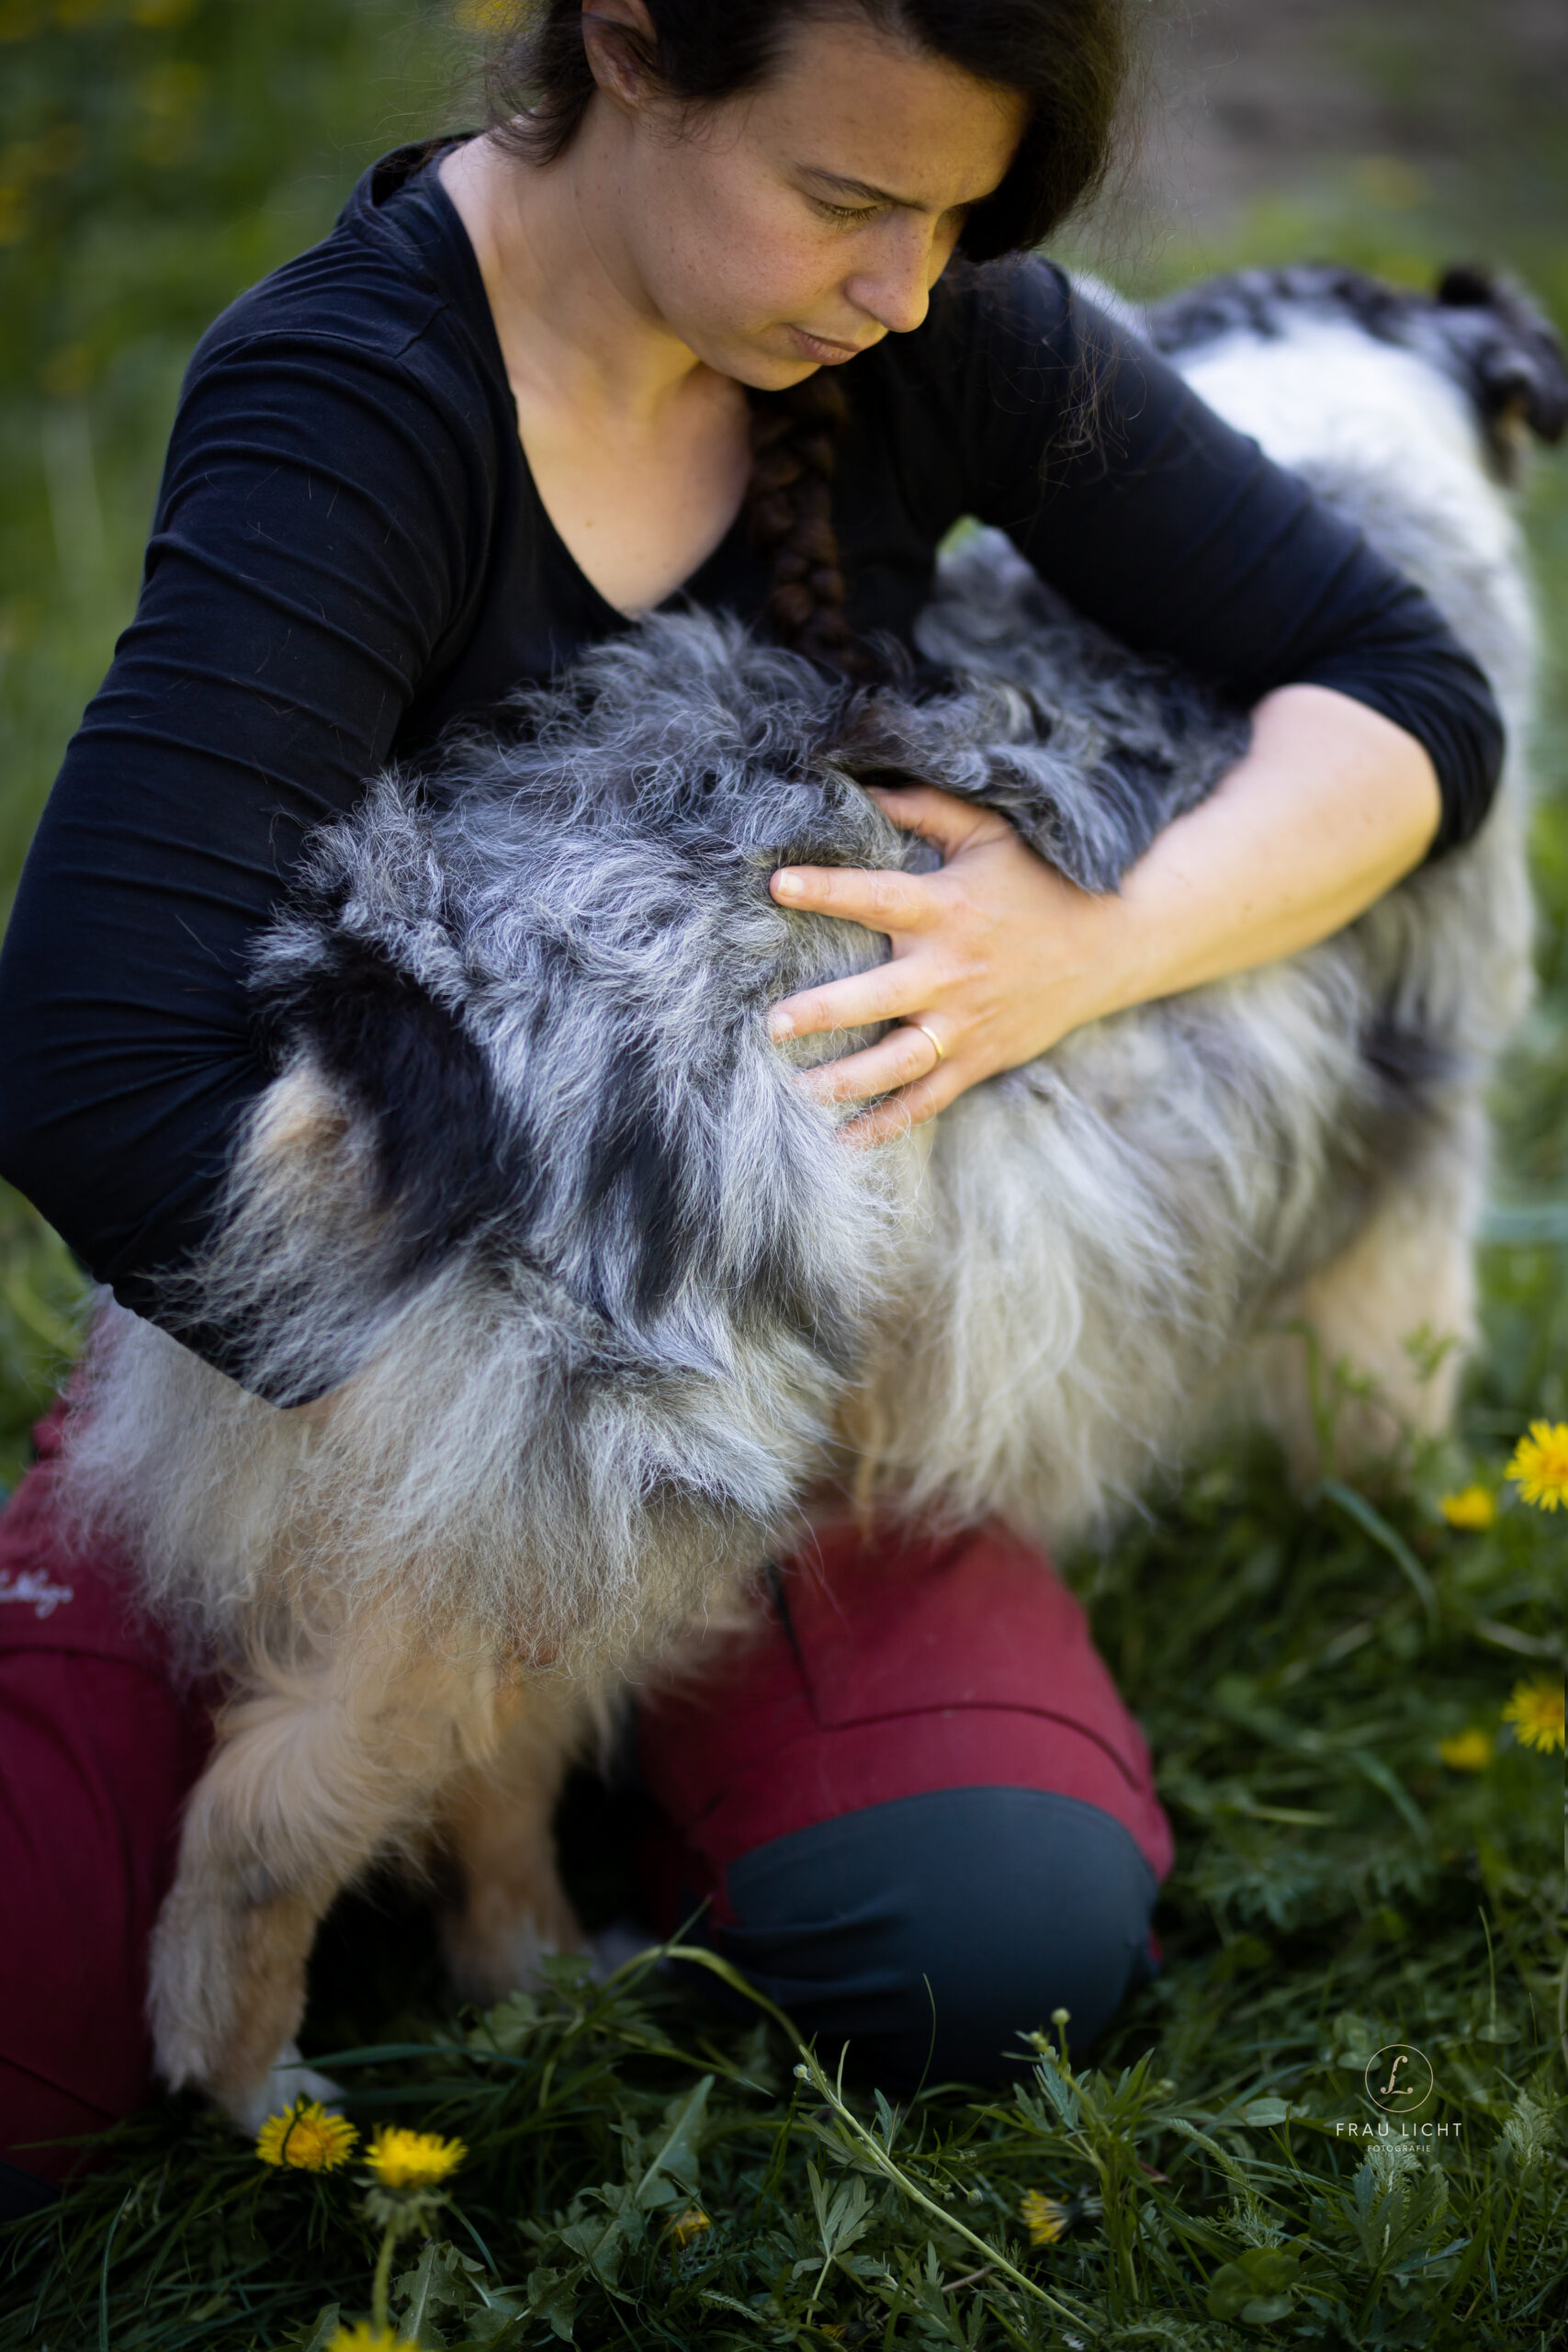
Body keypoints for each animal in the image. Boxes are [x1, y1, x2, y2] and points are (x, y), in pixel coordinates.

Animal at [58, 257, 1561, 2117]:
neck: (1333, 422)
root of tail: (383, 994)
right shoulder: (1409, 1180)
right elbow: (1386, 1418)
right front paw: (1419, 1566)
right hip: (568, 1498)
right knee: (282, 1802)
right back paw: (264, 2090)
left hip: (545, 1523)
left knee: (490, 1769)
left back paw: (541, 1983)